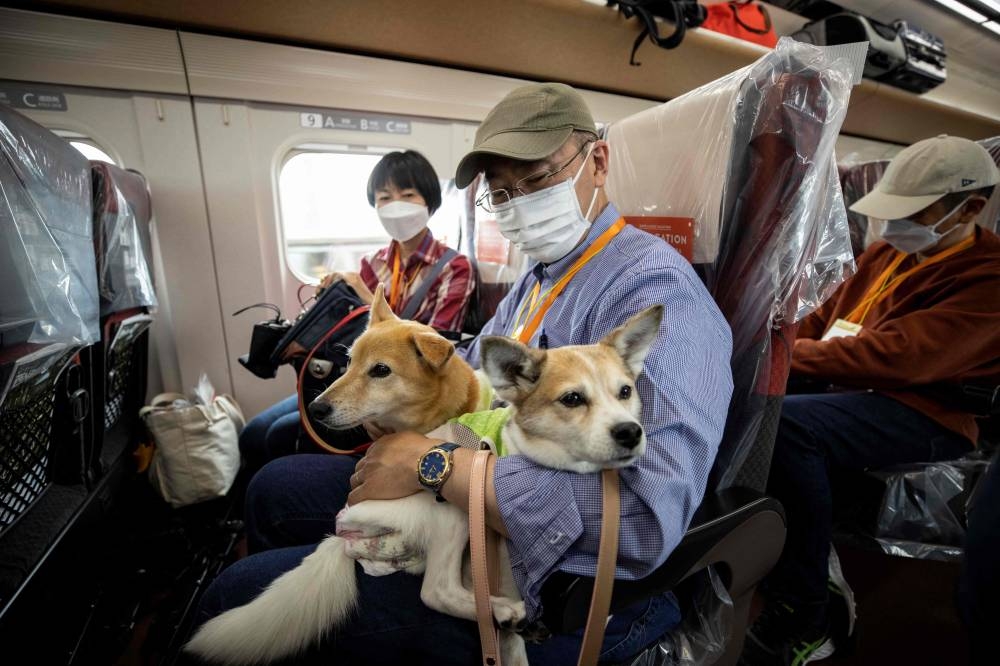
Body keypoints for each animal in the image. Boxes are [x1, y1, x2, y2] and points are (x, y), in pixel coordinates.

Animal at [186, 288, 664, 664]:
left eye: (626, 392)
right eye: (572, 399)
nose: (630, 432)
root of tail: (341, 532)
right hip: (454, 511)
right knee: (435, 591)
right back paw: (500, 610)